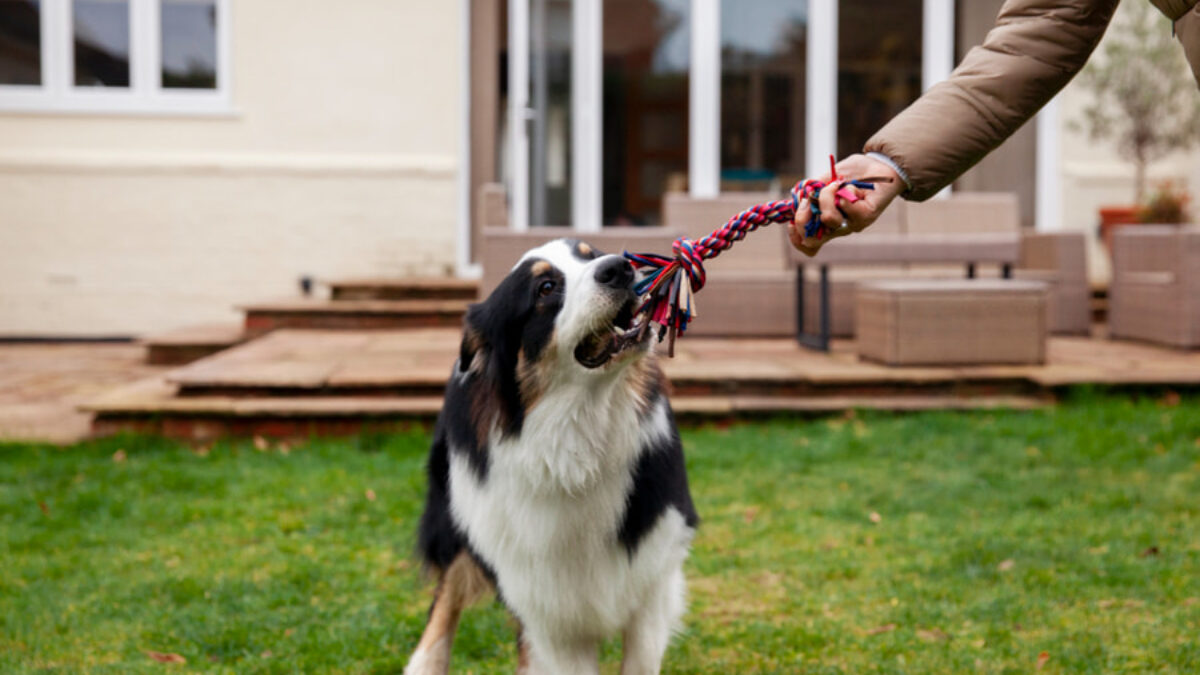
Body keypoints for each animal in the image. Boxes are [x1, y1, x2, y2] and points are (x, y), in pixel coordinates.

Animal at [408, 237, 700, 672]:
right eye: (545, 288)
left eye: (591, 254)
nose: (618, 268)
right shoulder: (547, 608)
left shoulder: (654, 577)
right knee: (448, 590)